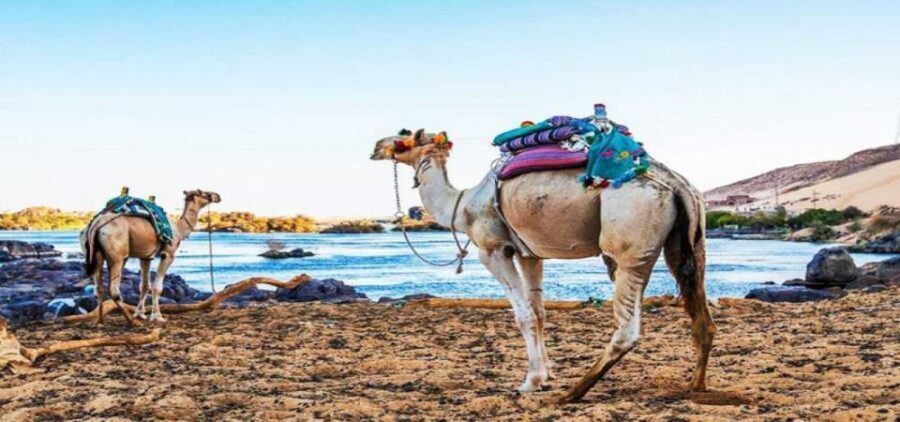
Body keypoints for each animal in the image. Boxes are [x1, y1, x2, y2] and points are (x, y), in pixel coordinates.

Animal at [80, 190, 221, 324]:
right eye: (202, 192)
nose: (217, 196)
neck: (179, 230)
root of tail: (96, 224)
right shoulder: (168, 254)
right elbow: (157, 287)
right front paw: (157, 316)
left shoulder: (146, 257)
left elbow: (144, 286)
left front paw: (140, 314)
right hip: (117, 256)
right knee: (114, 289)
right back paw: (132, 322)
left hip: (96, 254)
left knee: (98, 288)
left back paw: (100, 320)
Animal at [371, 129, 715, 404]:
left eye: (402, 138)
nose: (376, 146)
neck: (462, 205)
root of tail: (677, 184)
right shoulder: (529, 254)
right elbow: (539, 313)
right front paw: (546, 375)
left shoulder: (494, 251)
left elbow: (522, 315)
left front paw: (530, 382)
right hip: (689, 242)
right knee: (701, 314)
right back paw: (695, 385)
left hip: (630, 240)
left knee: (627, 328)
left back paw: (573, 393)